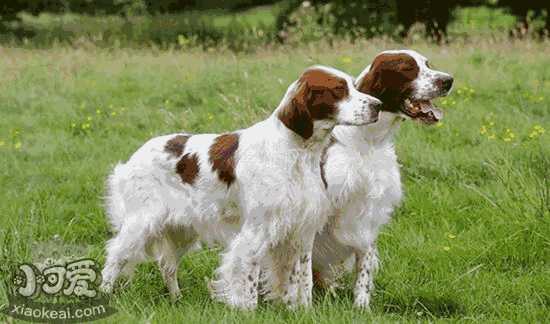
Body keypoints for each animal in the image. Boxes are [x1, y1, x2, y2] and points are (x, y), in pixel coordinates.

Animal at [100, 65, 384, 308]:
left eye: (354, 85)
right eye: (338, 90)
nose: (378, 105)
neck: (296, 153)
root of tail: (133, 158)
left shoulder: (302, 232)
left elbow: (303, 281)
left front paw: (303, 310)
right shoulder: (255, 232)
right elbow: (248, 283)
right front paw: (247, 310)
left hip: (182, 229)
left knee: (166, 265)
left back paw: (176, 299)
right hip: (141, 223)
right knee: (114, 258)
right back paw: (104, 295)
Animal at [312, 49, 454, 308]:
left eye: (427, 64)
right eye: (408, 69)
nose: (448, 80)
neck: (368, 140)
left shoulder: (369, 211)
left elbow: (364, 268)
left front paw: (361, 306)